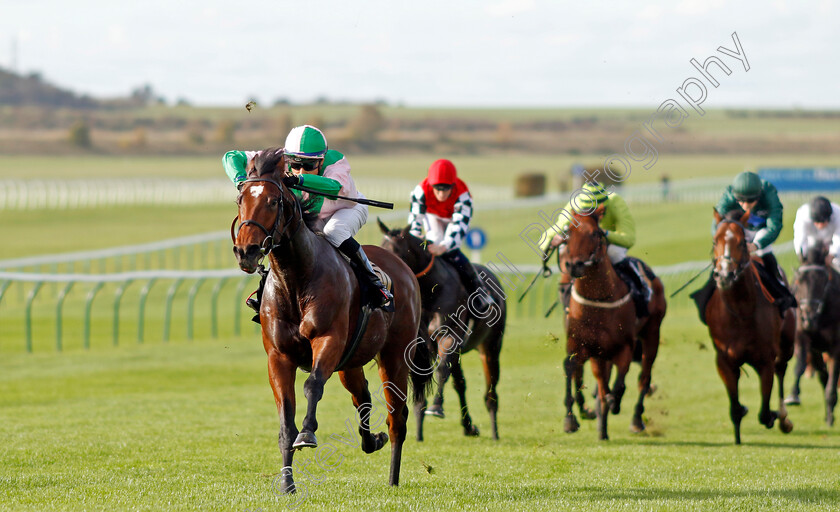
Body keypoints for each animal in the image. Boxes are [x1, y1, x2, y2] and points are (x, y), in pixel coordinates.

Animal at [233, 149, 436, 492]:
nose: (245, 250)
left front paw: (308, 433)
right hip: (350, 362)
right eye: (240, 199)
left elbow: (313, 385)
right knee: (362, 397)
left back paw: (393, 478)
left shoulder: (328, 340)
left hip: (394, 357)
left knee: (396, 417)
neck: (296, 280)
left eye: (273, 201)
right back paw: (372, 441)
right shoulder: (279, 356)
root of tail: (403, 267)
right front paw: (287, 484)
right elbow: (285, 421)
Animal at [378, 220, 506, 440]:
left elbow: (441, 370)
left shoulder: (449, 336)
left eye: (395, 252)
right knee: (460, 383)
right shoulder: (419, 345)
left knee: (490, 391)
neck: (431, 291)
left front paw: (436, 407)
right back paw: (468, 426)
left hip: (490, 347)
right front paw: (419, 427)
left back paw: (495, 431)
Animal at [560, 207, 668, 440]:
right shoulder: (582, 345)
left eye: (595, 233)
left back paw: (635, 419)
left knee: (644, 377)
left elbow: (620, 383)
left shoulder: (624, 346)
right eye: (567, 233)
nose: (574, 265)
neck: (598, 301)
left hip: (652, 333)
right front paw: (572, 418)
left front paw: (613, 403)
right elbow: (572, 368)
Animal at [704, 209, 796, 444]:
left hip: (787, 346)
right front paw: (738, 430)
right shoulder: (724, 360)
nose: (724, 275)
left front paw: (773, 415)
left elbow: (764, 411)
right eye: (715, 240)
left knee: (782, 370)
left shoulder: (765, 360)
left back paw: (784, 418)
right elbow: (735, 407)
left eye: (741, 242)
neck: (741, 311)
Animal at [788, 242, 840, 426]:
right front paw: (793, 395)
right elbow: (800, 367)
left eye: (823, 280)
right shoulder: (805, 338)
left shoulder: (836, 346)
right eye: (799, 280)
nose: (808, 317)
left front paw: (831, 414)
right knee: (823, 376)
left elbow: (832, 379)